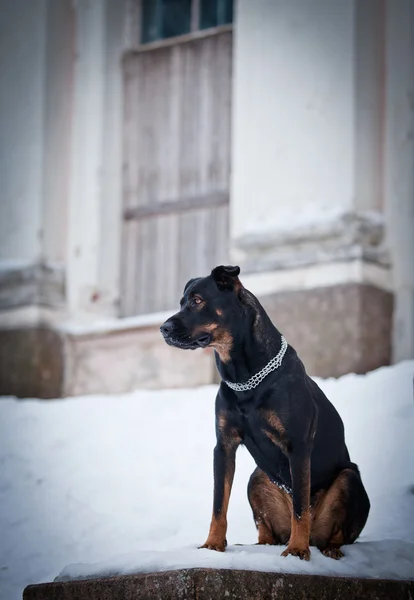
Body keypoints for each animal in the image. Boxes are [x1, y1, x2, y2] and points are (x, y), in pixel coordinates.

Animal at [160, 264, 370, 560]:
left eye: (198, 301)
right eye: (182, 302)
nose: (163, 328)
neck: (246, 377)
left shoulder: (298, 446)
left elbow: (300, 508)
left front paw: (297, 550)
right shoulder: (224, 446)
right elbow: (218, 504)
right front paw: (213, 544)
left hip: (349, 479)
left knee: (337, 531)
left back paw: (328, 549)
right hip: (257, 477)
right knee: (266, 531)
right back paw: (262, 545)